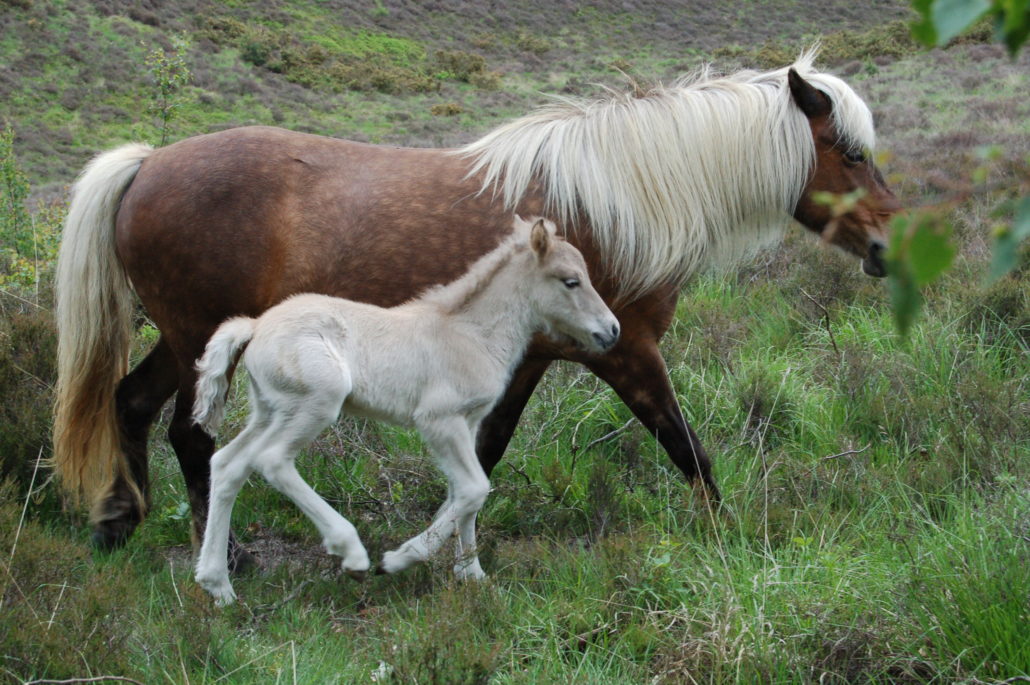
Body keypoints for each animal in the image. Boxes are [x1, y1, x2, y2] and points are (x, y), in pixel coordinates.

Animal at [191, 217, 618, 605]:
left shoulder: (468, 423)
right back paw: (353, 555)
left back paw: (218, 585)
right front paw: (400, 560)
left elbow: (464, 492)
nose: (611, 331)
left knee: (228, 464)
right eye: (570, 281)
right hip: (317, 403)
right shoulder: (439, 420)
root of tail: (255, 326)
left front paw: (472, 574)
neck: (471, 333)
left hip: (272, 410)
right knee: (272, 460)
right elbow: (475, 488)